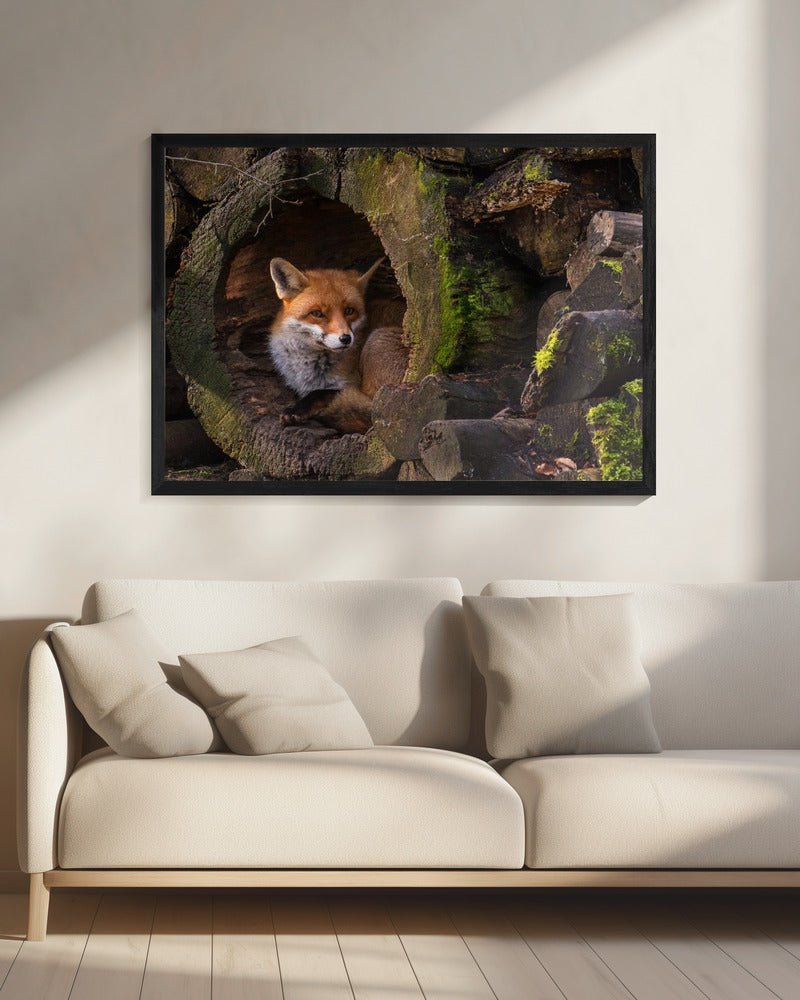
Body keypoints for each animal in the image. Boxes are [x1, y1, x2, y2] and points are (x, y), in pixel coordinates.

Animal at [268, 256, 409, 434]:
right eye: (317, 313)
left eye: (349, 310)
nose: (346, 338)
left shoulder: (350, 384)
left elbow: (321, 393)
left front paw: (297, 409)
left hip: (377, 342)